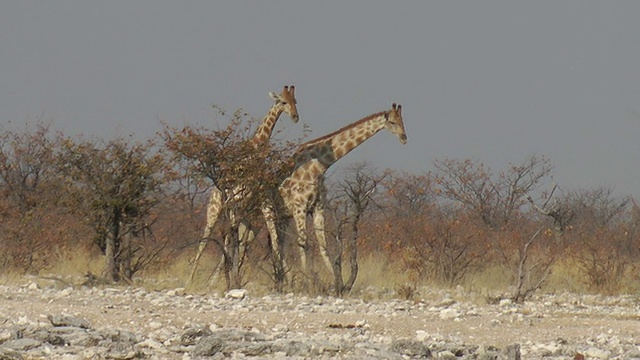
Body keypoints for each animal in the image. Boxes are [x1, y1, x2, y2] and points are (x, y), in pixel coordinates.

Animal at [188, 86, 300, 286]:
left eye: (295, 101)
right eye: (283, 102)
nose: (295, 116)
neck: (254, 151)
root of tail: (213, 192)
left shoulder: (250, 206)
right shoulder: (245, 202)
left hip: (238, 213)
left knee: (231, 240)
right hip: (215, 211)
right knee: (204, 240)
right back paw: (190, 281)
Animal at [268, 102, 408, 278]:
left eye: (403, 121)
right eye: (392, 122)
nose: (404, 138)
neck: (318, 167)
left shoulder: (318, 207)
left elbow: (323, 246)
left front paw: (334, 280)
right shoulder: (299, 208)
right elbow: (303, 243)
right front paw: (306, 279)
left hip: (283, 217)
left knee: (278, 244)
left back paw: (283, 276)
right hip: (269, 212)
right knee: (274, 245)